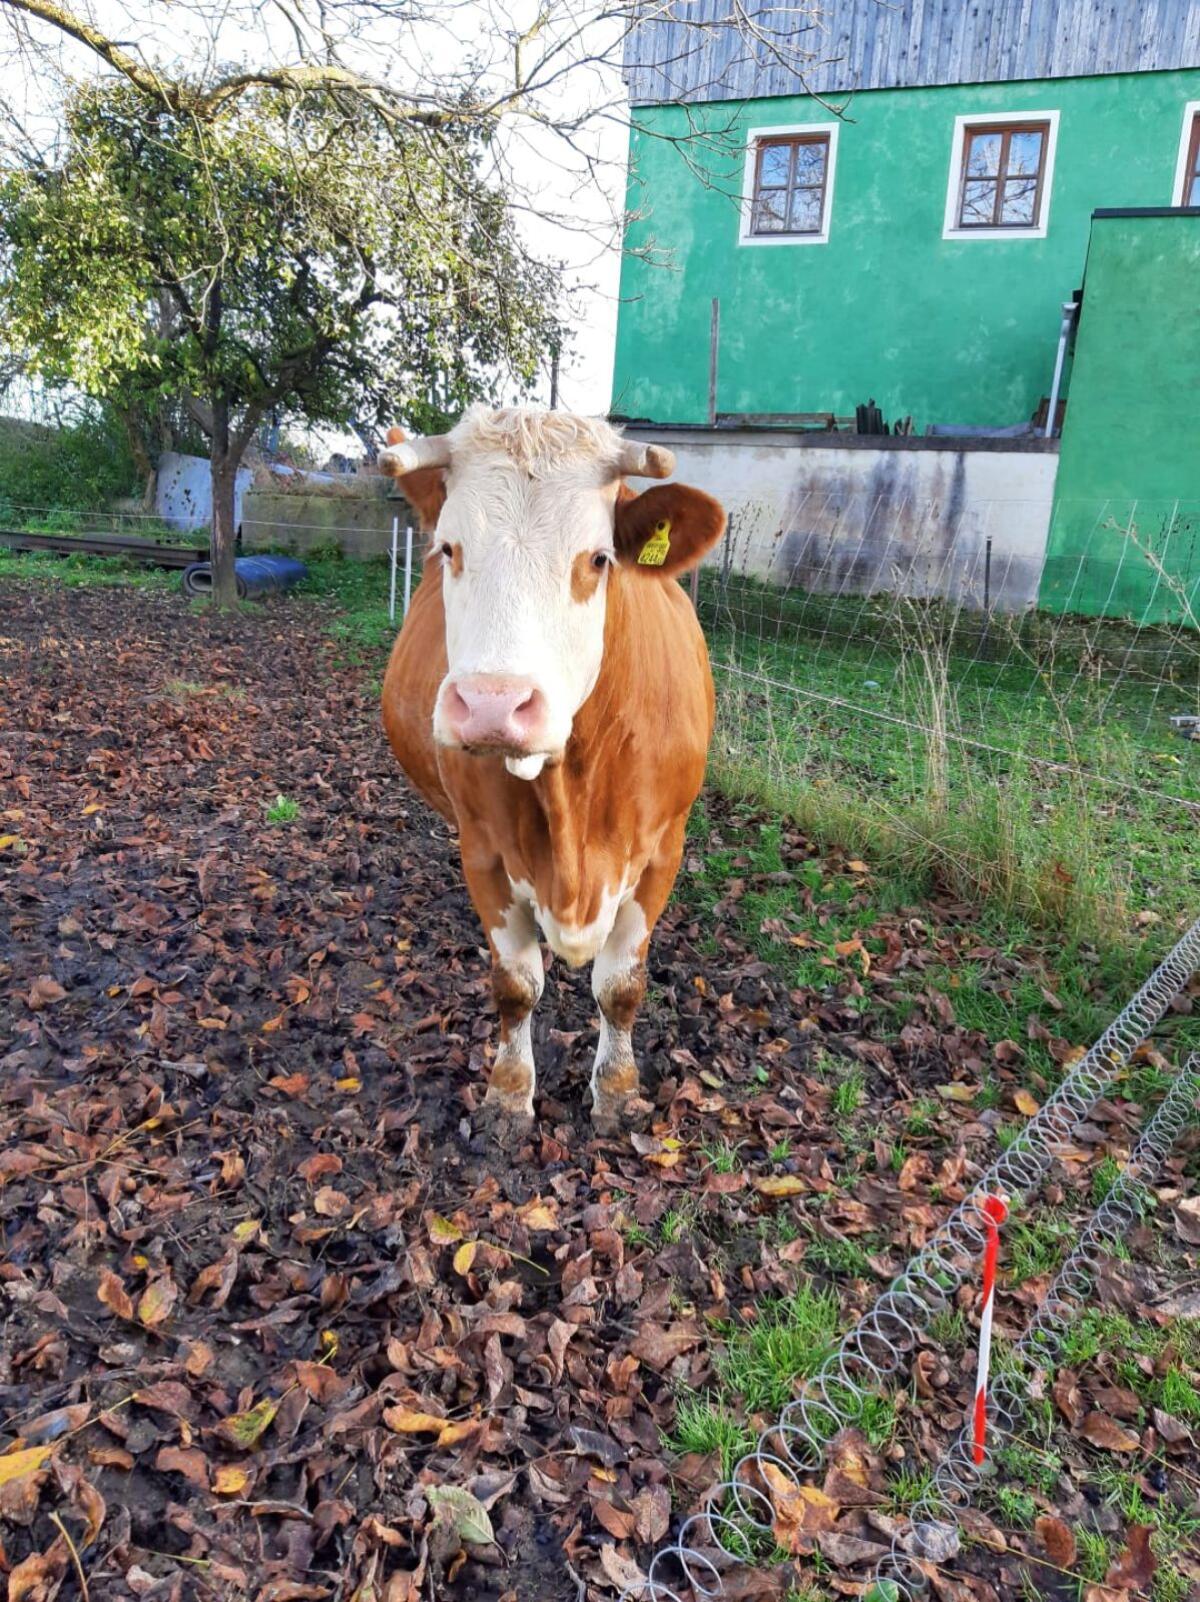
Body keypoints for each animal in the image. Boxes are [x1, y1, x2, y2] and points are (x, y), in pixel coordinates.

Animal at [379, 406, 726, 1141]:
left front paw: (616, 1090)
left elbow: (620, 987)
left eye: (598, 559)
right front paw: (509, 1094)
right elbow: (516, 986)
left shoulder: (663, 849)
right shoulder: (484, 852)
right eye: (449, 550)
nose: (492, 704)